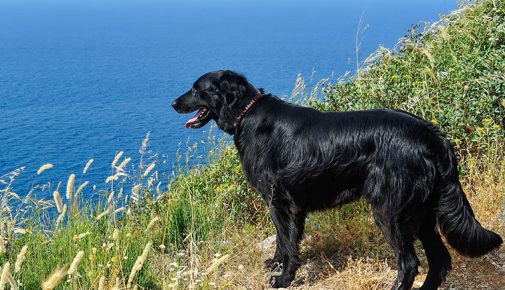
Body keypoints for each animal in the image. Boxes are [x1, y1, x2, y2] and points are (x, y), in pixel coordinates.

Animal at [172, 71, 500, 290]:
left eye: (197, 89)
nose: (174, 102)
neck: (248, 114)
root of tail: (433, 135)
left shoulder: (281, 203)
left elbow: (288, 243)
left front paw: (284, 278)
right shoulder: (286, 205)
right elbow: (282, 240)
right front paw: (276, 263)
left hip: (389, 211)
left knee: (409, 263)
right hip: (421, 213)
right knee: (440, 260)